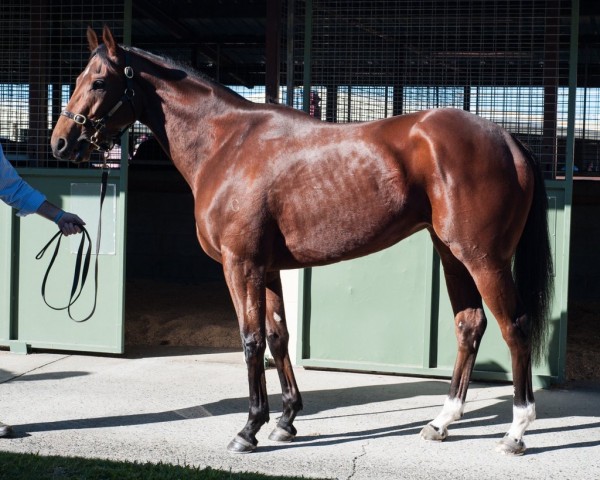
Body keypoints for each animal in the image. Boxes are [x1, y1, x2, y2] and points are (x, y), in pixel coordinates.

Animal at [51, 25, 552, 454]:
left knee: (514, 327)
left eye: (99, 82)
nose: (61, 143)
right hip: (452, 254)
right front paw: (286, 420)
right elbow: (278, 337)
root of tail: (509, 140)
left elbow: (251, 339)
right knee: (470, 325)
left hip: (483, 257)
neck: (227, 144)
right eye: (76, 78)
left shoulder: (241, 264)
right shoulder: (267, 267)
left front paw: (248, 429)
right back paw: (441, 422)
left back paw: (516, 431)